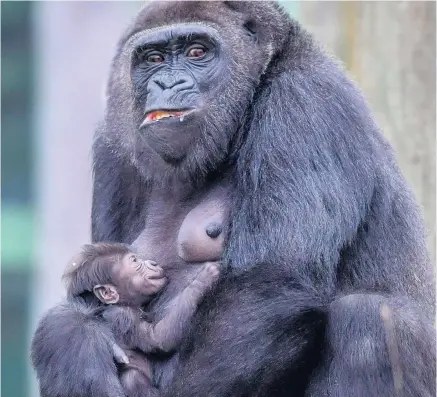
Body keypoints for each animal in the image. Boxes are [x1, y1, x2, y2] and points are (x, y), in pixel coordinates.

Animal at [63, 241, 220, 396]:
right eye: (135, 261)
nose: (153, 263)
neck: (123, 303)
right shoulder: (123, 316)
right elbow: (158, 339)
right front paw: (202, 280)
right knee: (132, 377)